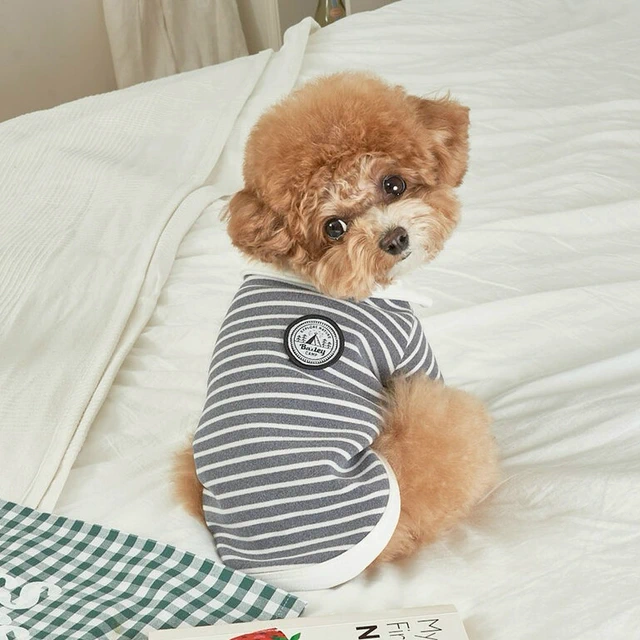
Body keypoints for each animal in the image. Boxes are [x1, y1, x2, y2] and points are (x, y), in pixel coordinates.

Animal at [174, 72, 498, 590]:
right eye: (334, 228)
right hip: (416, 454)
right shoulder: (408, 351)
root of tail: (282, 573)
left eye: (393, 184)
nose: (395, 239)